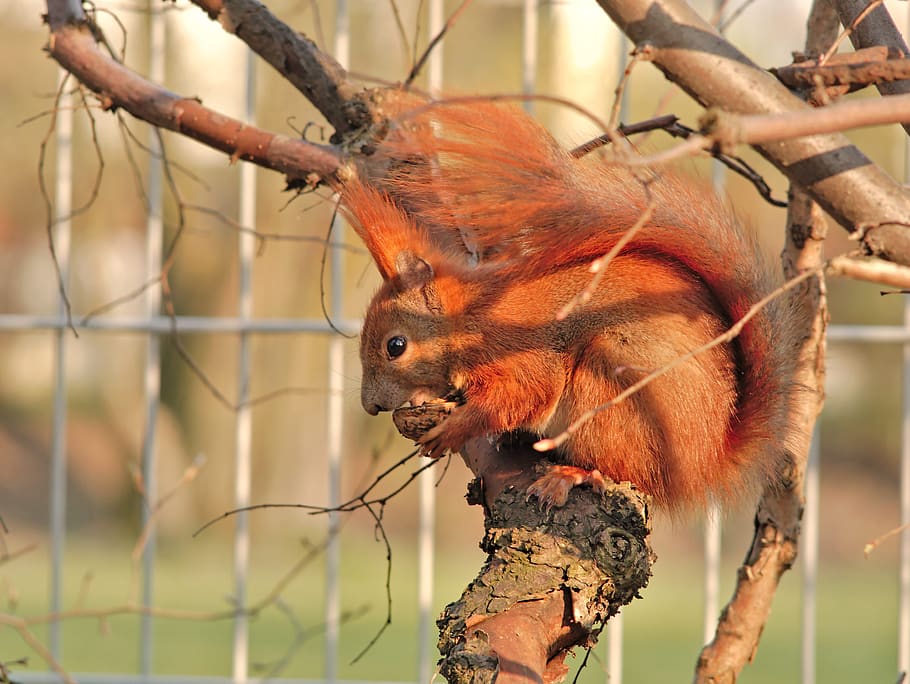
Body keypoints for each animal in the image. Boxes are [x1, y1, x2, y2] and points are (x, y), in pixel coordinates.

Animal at [341, 100, 800, 511]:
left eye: (395, 346)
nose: (370, 406)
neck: (470, 318)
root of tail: (703, 464)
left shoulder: (519, 354)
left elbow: (520, 396)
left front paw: (455, 429)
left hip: (611, 384)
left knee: (623, 471)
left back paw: (571, 474)